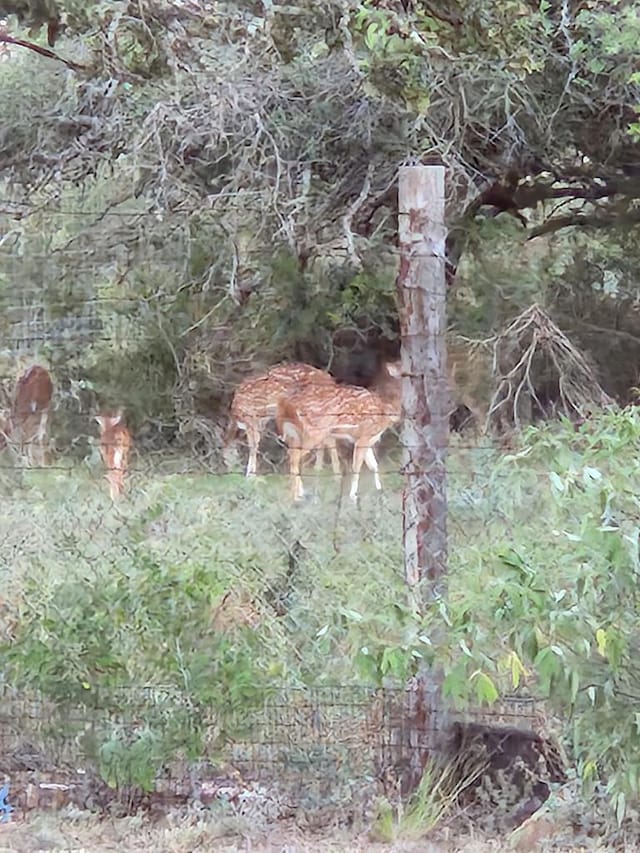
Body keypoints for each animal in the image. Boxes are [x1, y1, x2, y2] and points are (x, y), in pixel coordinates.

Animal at [276, 358, 400, 502]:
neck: (385, 411)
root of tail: (284, 403)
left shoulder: (367, 439)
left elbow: (373, 465)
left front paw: (381, 492)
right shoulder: (364, 436)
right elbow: (356, 467)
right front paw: (353, 496)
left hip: (296, 433)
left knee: (293, 455)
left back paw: (299, 493)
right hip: (314, 432)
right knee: (294, 455)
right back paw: (296, 496)